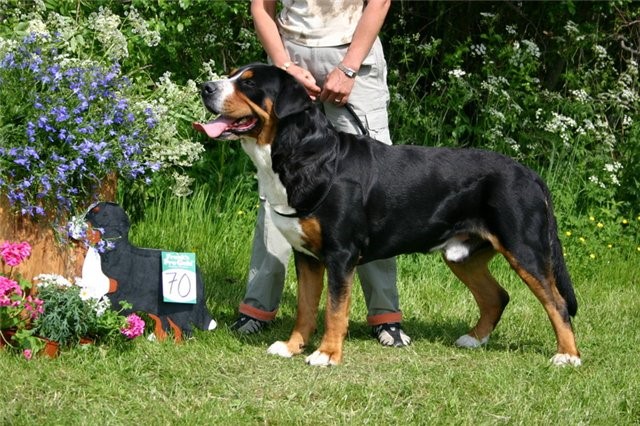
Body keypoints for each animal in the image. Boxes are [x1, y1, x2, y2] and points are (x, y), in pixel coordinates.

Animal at [194, 63, 580, 366]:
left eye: (249, 84)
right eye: (233, 75)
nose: (205, 87)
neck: (306, 156)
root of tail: (529, 173)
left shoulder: (341, 255)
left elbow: (335, 310)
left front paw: (327, 354)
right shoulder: (307, 257)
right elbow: (305, 308)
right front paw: (292, 347)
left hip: (524, 249)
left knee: (557, 303)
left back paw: (568, 356)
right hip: (463, 255)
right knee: (497, 296)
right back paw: (474, 339)